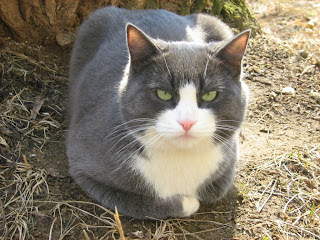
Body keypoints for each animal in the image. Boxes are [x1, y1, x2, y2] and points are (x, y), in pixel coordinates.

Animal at [67, 6, 250, 219]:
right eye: (163, 93)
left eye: (210, 94)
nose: (187, 122)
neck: (179, 158)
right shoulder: (82, 164)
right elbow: (135, 202)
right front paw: (188, 202)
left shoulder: (228, 164)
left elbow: (217, 188)